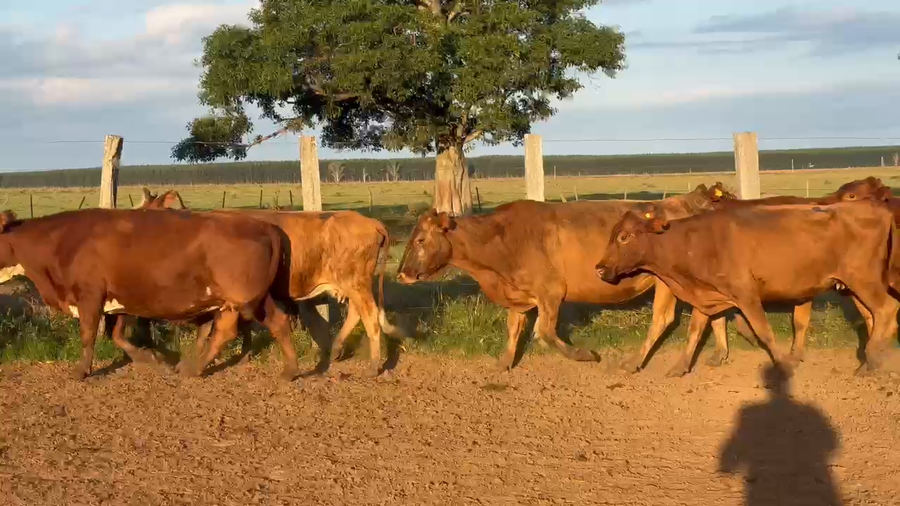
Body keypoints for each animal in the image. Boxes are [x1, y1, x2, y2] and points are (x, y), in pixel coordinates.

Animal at [0, 208, 301, 381]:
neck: (63, 240)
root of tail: (265, 225)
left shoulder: (90, 296)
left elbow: (89, 335)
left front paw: (81, 371)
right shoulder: (120, 299)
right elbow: (117, 335)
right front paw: (154, 358)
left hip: (247, 298)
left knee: (266, 324)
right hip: (236, 301)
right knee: (235, 330)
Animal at [135, 188, 399, 375]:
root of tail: (372, 222)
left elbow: (214, 328)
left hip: (355, 282)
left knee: (370, 316)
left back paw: (374, 365)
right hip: (352, 285)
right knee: (357, 313)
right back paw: (335, 350)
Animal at [396, 187, 742, 372]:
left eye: (421, 240)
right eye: (412, 238)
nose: (402, 273)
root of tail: (684, 201)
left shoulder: (550, 292)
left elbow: (545, 333)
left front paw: (584, 355)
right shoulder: (519, 295)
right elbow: (514, 329)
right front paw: (504, 363)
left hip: (667, 283)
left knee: (667, 318)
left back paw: (640, 362)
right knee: (712, 312)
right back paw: (716, 354)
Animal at [595, 199, 900, 376]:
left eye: (624, 236)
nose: (599, 267)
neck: (694, 242)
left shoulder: (746, 295)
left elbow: (763, 331)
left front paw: (784, 364)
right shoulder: (705, 295)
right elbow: (694, 332)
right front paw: (680, 366)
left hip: (863, 280)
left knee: (887, 309)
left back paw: (873, 358)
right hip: (853, 287)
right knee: (874, 317)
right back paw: (868, 363)